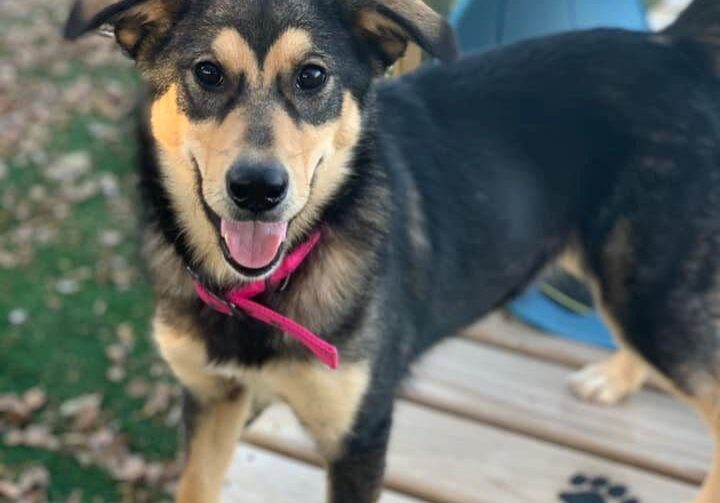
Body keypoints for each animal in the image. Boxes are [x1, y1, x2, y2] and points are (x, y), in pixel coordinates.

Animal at [66, 0, 720, 502]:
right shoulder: (210, 398)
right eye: (206, 73)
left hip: (651, 291)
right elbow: (196, 486)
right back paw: (614, 379)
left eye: (312, 77)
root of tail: (672, 49)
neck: (261, 291)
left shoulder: (360, 435)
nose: (257, 189)